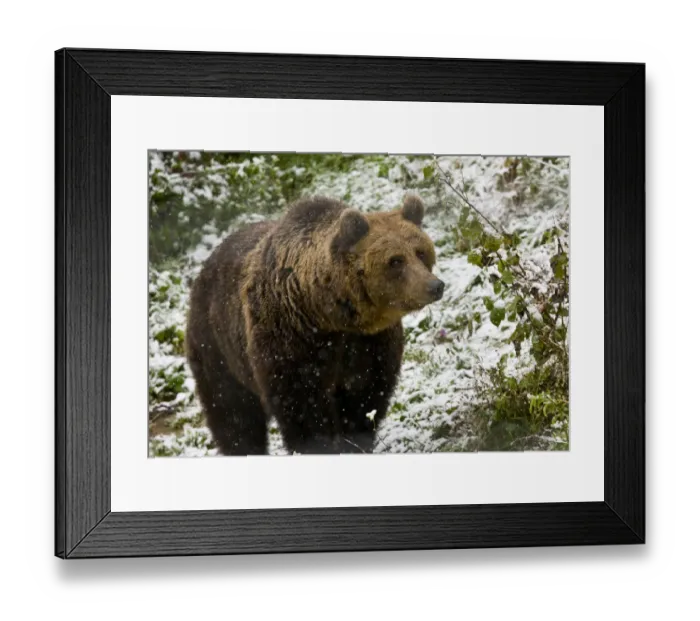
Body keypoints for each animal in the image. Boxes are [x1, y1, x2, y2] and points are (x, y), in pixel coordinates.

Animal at [185, 194, 444, 455]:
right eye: (395, 260)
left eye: (421, 252)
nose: (434, 286)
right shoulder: (290, 339)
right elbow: (302, 404)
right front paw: (317, 446)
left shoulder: (369, 343)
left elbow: (364, 394)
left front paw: (354, 441)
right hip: (218, 347)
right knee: (232, 411)